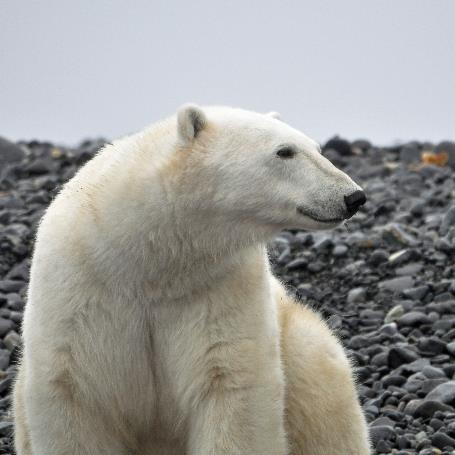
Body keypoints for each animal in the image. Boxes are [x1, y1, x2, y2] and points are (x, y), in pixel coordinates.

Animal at [13, 104, 370, 455]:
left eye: (317, 148)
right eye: (284, 151)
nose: (353, 196)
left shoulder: (218, 288)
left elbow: (232, 385)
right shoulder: (81, 293)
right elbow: (75, 395)